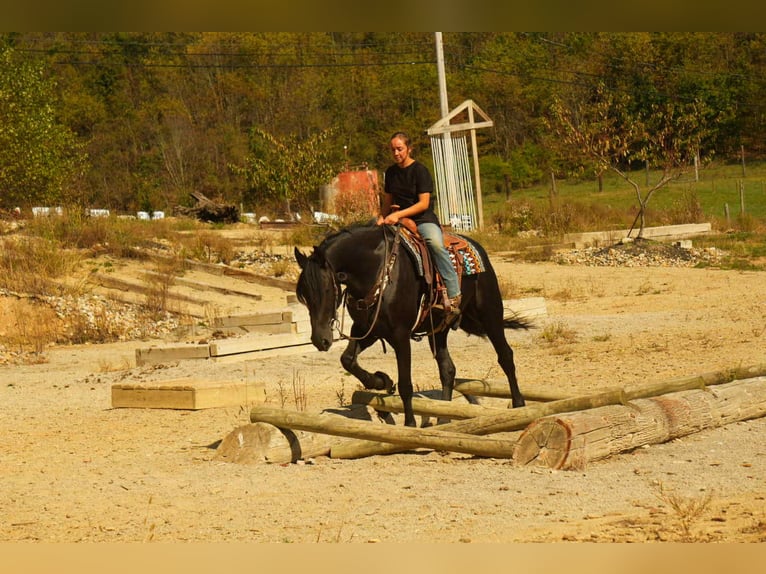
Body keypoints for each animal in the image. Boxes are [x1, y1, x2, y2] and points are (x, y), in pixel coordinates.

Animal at [294, 222, 529, 427]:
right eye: (303, 296)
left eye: (326, 289)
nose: (320, 340)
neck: (376, 270)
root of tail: (476, 246)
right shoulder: (367, 330)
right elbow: (348, 360)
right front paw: (381, 381)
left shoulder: (400, 335)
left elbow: (405, 383)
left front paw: (409, 422)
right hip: (439, 329)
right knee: (447, 369)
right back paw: (443, 417)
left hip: (490, 314)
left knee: (506, 356)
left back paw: (519, 404)